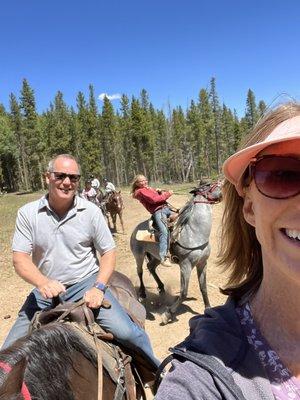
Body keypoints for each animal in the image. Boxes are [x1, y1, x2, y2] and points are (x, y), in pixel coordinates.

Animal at [130, 183, 221, 324]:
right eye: (208, 185)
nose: (221, 183)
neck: (193, 233)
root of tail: (136, 229)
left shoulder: (202, 263)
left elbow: (203, 287)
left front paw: (208, 308)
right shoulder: (185, 266)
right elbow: (183, 292)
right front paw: (168, 314)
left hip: (157, 257)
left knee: (151, 267)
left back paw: (161, 287)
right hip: (138, 255)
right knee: (140, 272)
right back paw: (143, 293)